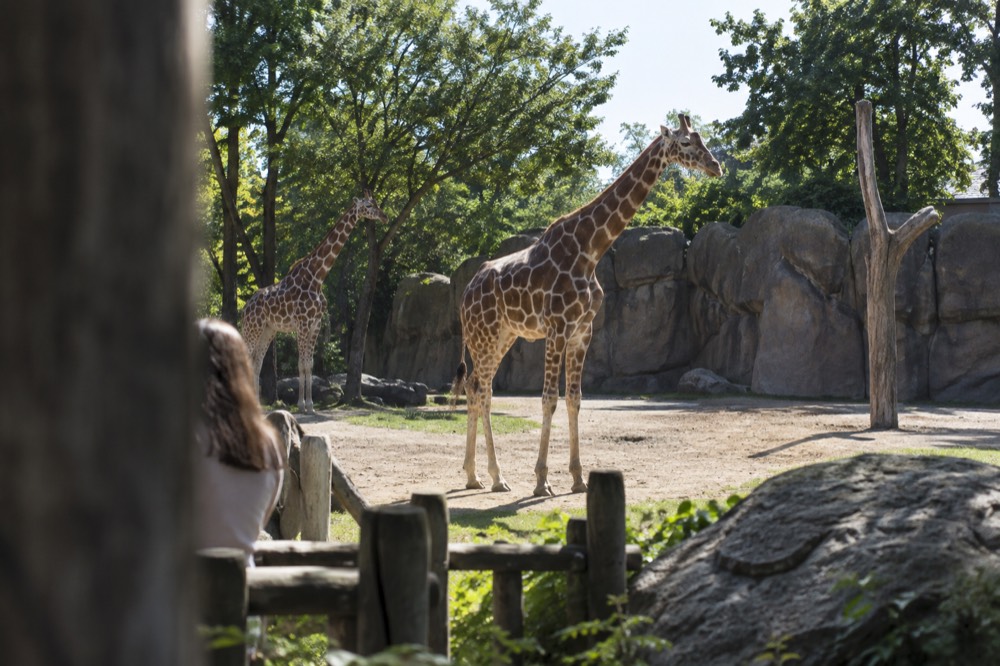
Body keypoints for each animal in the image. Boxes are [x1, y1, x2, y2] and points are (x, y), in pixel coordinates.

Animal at [240, 193, 388, 413]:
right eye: (369, 205)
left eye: (377, 203)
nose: (385, 216)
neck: (317, 277)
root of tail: (245, 308)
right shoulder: (302, 324)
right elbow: (301, 364)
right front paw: (302, 404)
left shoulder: (315, 325)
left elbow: (309, 364)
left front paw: (310, 405)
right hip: (253, 329)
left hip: (268, 330)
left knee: (256, 363)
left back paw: (258, 406)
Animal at [453, 114, 722, 496]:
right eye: (685, 143)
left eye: (702, 140)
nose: (715, 166)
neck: (590, 250)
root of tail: (464, 295)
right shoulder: (557, 327)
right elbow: (549, 399)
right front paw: (542, 481)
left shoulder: (583, 331)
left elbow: (574, 399)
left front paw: (578, 478)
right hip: (485, 336)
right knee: (481, 390)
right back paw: (494, 476)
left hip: (503, 336)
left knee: (477, 387)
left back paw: (476, 475)